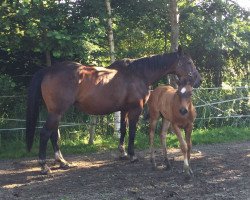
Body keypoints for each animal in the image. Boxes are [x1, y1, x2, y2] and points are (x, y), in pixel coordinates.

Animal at [25, 46, 201, 173]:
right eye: (189, 62)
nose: (199, 80)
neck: (138, 74)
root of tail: (49, 70)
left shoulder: (124, 110)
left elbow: (122, 130)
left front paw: (122, 153)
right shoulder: (135, 109)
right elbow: (132, 132)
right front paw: (132, 155)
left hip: (55, 112)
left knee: (53, 134)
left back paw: (62, 162)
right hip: (56, 112)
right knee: (45, 133)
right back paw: (44, 166)